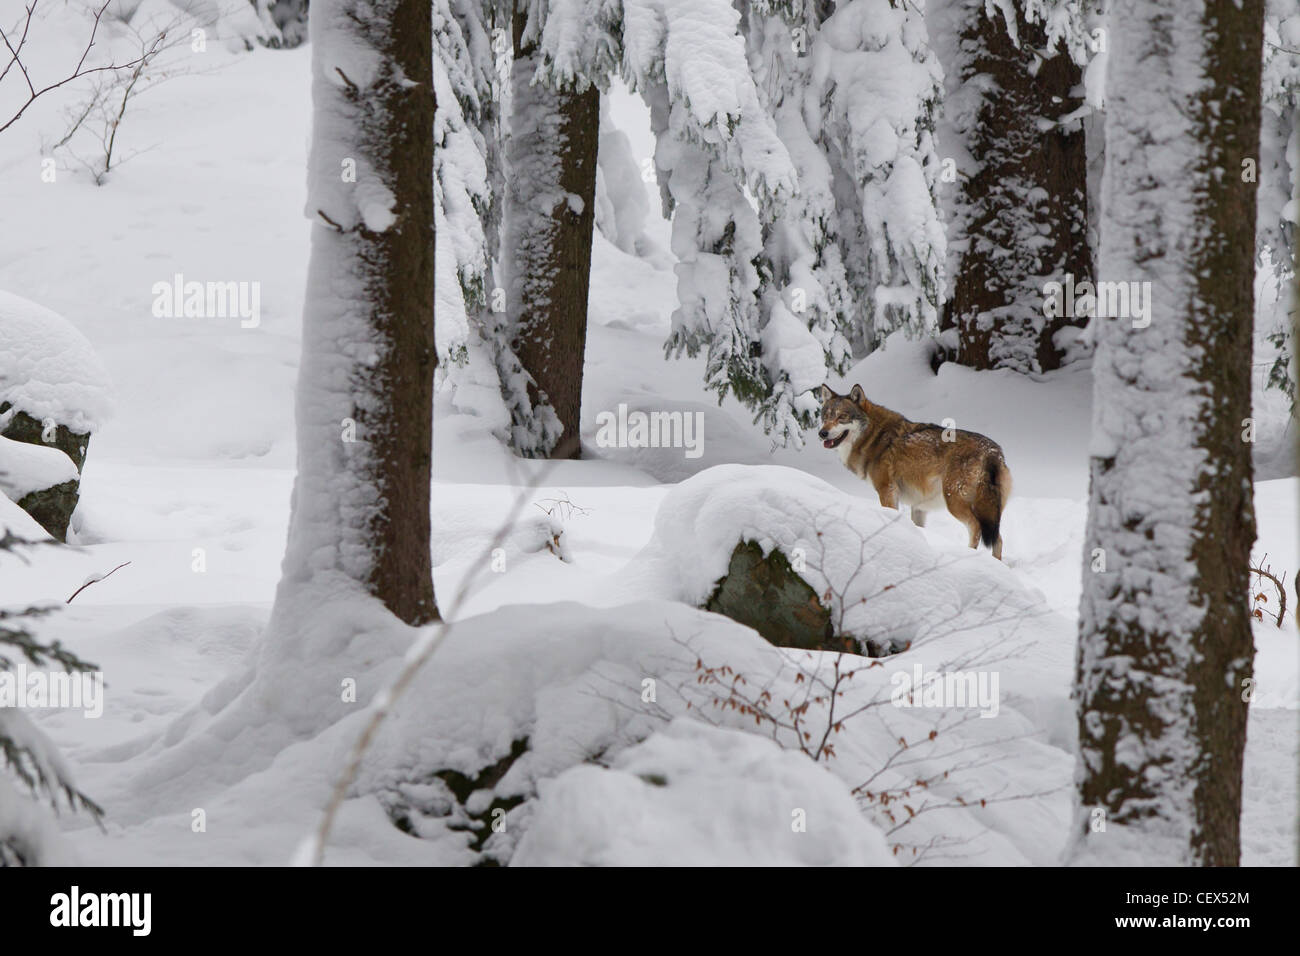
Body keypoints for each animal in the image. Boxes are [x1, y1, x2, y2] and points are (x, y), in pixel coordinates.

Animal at [811, 382, 1013, 561]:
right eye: (825, 417)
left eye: (842, 417)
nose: (822, 433)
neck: (873, 437)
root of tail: (993, 452)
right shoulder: (918, 507)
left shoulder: (887, 491)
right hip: (991, 514)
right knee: (999, 539)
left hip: (955, 502)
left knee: (976, 529)